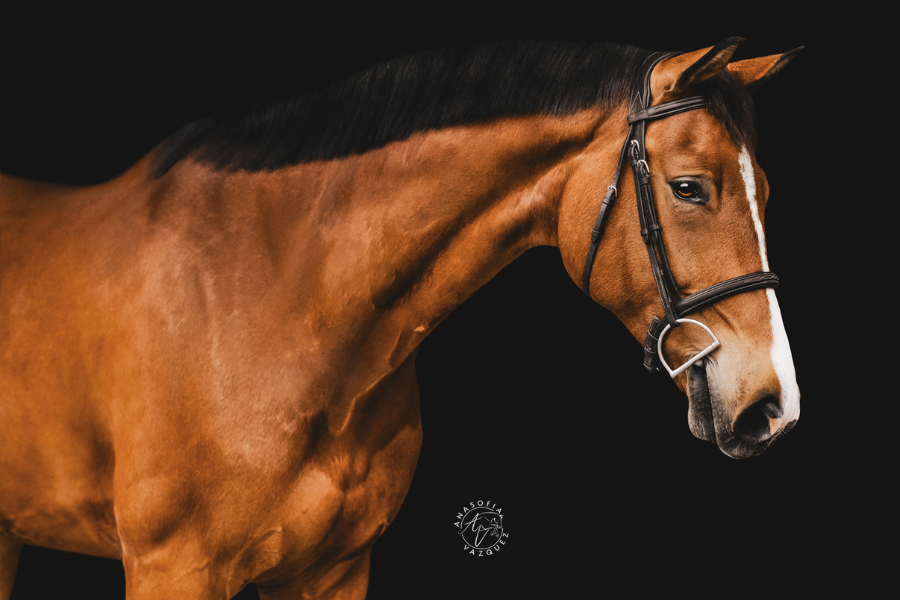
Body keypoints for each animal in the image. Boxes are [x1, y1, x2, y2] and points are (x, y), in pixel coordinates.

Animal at [0, 37, 801, 599]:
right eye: (690, 187)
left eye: (763, 189)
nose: (773, 404)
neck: (272, 306)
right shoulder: (174, 569)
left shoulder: (334, 570)